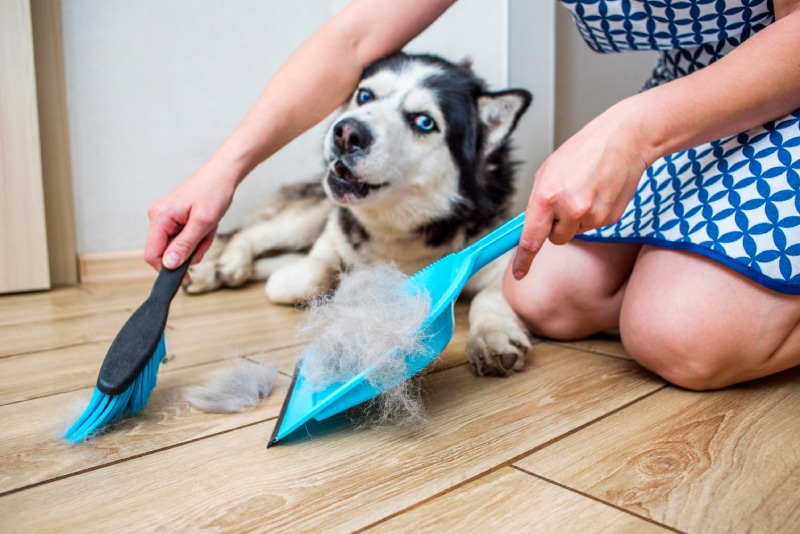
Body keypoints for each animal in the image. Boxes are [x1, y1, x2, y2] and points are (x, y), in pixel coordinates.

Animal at [188, 51, 536, 376]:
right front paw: (347, 285)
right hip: (309, 218)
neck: (395, 231)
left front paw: (493, 335)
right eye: (365, 95)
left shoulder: (497, 258)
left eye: (424, 122)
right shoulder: (330, 242)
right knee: (251, 235)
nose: (346, 133)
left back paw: (212, 272)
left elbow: (491, 296)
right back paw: (228, 264)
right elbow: (314, 272)